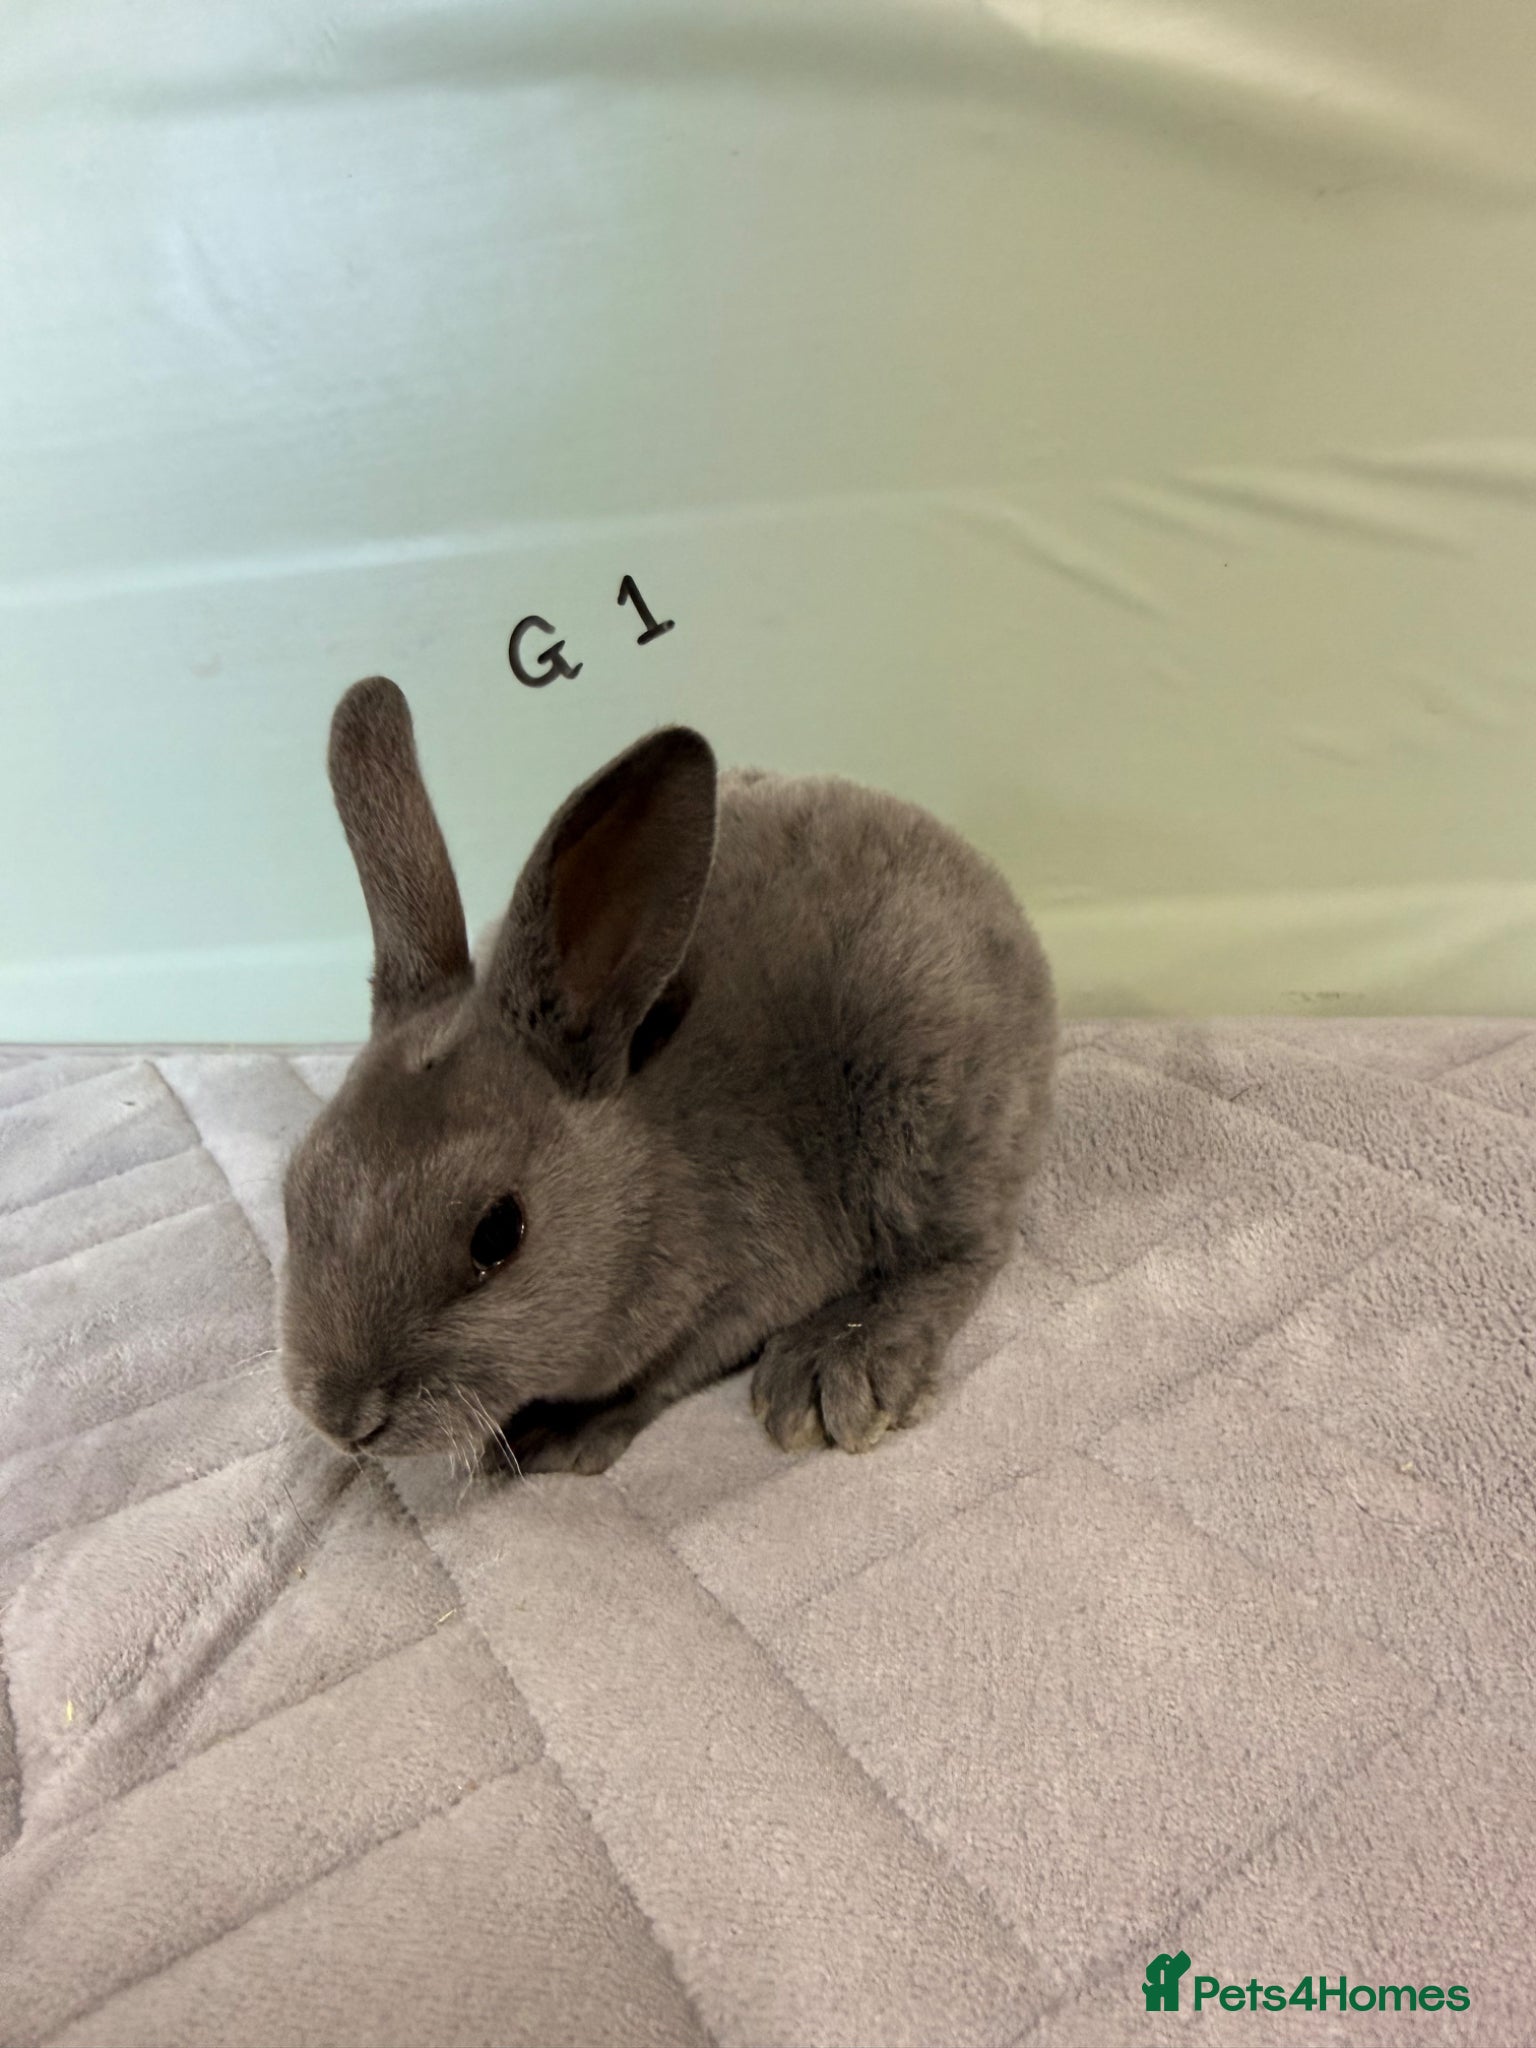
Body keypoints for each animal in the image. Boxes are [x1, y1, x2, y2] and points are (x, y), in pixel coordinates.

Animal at [279, 676, 1057, 1476]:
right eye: (295, 1195)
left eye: (496, 1235)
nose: (343, 1419)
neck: (646, 1186)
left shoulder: (741, 1291)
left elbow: (664, 1372)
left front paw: (557, 1434)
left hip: (925, 1101)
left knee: (962, 1250)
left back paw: (834, 1368)